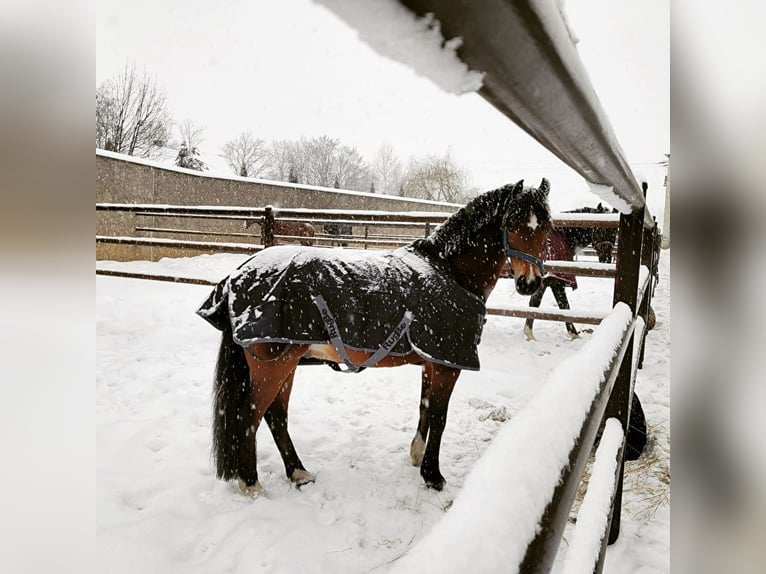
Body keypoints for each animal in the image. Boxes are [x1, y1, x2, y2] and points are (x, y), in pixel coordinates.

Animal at [201, 179, 556, 496]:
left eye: (545, 227)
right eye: (512, 223)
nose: (528, 283)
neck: (449, 272)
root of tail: (238, 274)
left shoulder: (432, 362)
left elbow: (425, 408)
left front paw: (417, 456)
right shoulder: (447, 365)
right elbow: (440, 417)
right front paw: (433, 476)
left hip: (285, 364)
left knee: (276, 416)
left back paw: (298, 473)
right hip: (273, 365)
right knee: (249, 416)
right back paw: (251, 484)